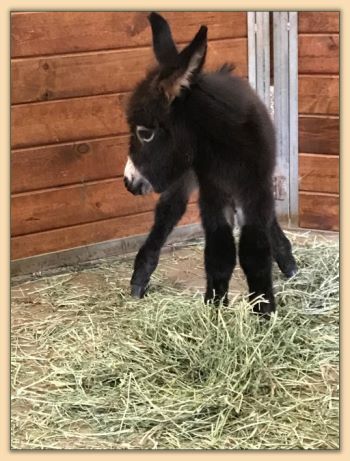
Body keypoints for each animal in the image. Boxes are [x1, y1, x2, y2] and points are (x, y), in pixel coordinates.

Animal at [121, 12, 296, 314]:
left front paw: (264, 310)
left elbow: (254, 250)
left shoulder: (255, 187)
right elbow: (219, 253)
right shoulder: (212, 190)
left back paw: (287, 261)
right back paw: (140, 278)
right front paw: (215, 309)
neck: (226, 150)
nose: (129, 182)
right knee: (168, 212)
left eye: (146, 133)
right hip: (186, 176)